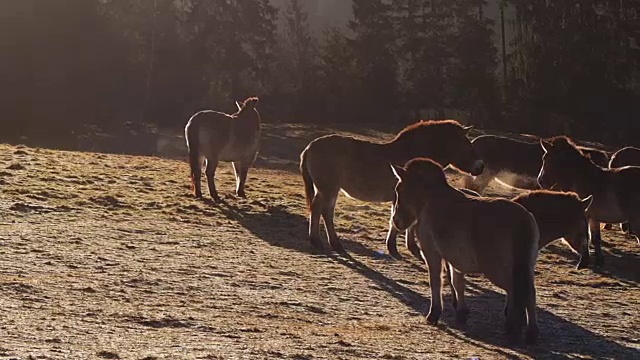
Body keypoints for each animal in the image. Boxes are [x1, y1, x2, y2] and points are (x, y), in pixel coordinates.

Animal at [300, 119, 484, 255]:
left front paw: (403, 246)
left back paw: (331, 243)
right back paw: (320, 241)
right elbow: (403, 222)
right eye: (466, 144)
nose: (480, 166)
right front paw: (397, 248)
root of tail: (310, 146)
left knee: (324, 211)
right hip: (327, 188)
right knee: (320, 210)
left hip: (330, 189)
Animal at [392, 159, 536, 344]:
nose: (396, 221)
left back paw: (512, 327)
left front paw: (434, 314)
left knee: (515, 290)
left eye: (399, 190)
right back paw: (531, 333)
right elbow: (457, 283)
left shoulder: (432, 253)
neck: (431, 200)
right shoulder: (454, 258)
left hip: (497, 269)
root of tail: (522, 219)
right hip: (526, 266)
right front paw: (461, 314)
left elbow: (436, 282)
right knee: (530, 293)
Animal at [536, 136, 640, 266]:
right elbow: (595, 239)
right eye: (543, 158)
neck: (587, 180)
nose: (541, 181)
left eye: (548, 159)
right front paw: (599, 260)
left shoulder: (586, 217)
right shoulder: (592, 218)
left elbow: (588, 238)